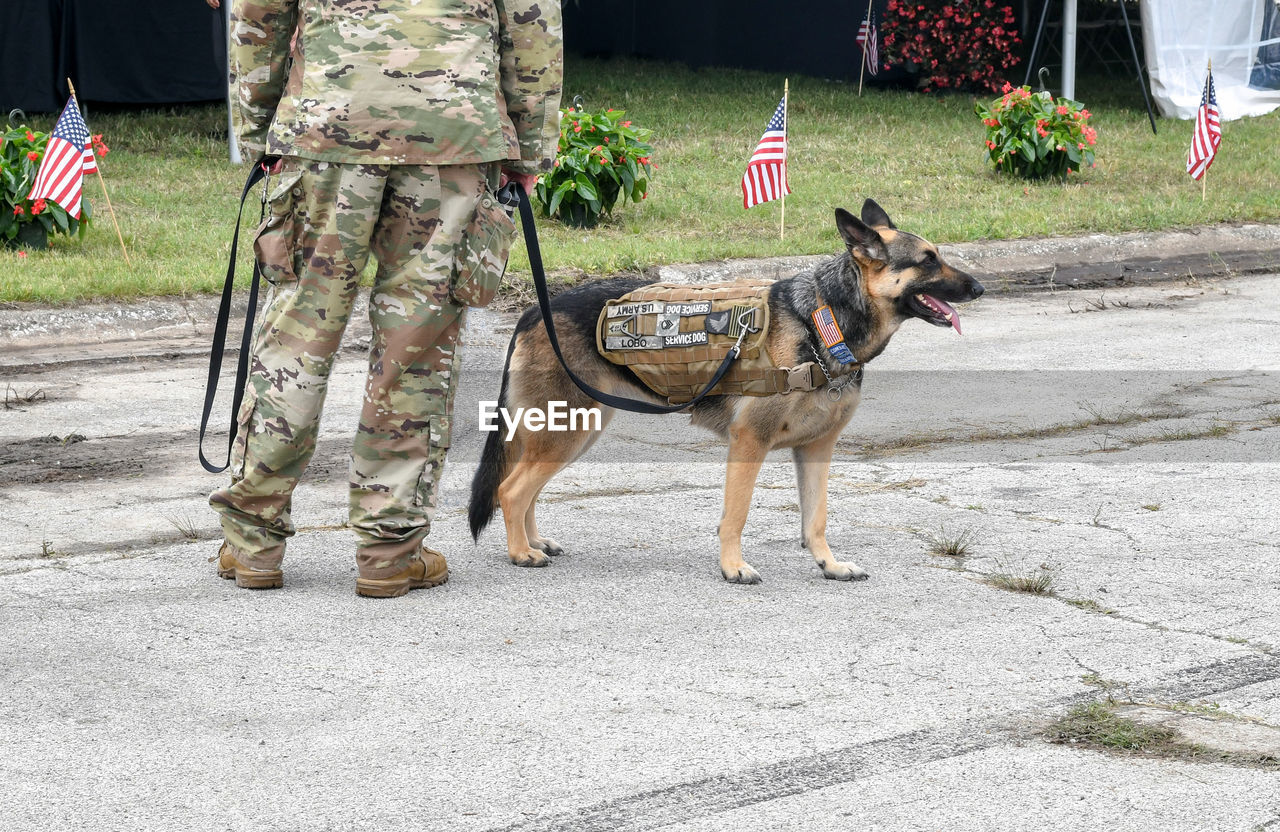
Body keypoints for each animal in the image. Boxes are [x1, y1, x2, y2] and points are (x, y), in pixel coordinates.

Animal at [468, 197, 977, 581]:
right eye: (928, 261)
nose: (979, 287)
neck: (823, 318)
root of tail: (534, 310)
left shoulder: (817, 449)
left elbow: (816, 517)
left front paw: (829, 564)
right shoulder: (749, 443)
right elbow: (736, 514)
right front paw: (733, 567)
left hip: (576, 428)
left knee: (527, 488)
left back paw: (534, 540)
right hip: (569, 430)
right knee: (511, 490)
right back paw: (520, 552)